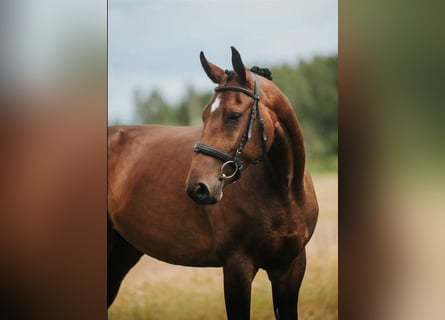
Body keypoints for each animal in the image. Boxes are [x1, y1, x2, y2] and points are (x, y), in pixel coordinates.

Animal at [106, 46, 318, 318]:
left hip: (123, 252)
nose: (198, 187)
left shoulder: (291, 268)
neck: (285, 192)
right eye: (205, 115)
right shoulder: (237, 267)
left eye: (234, 116)